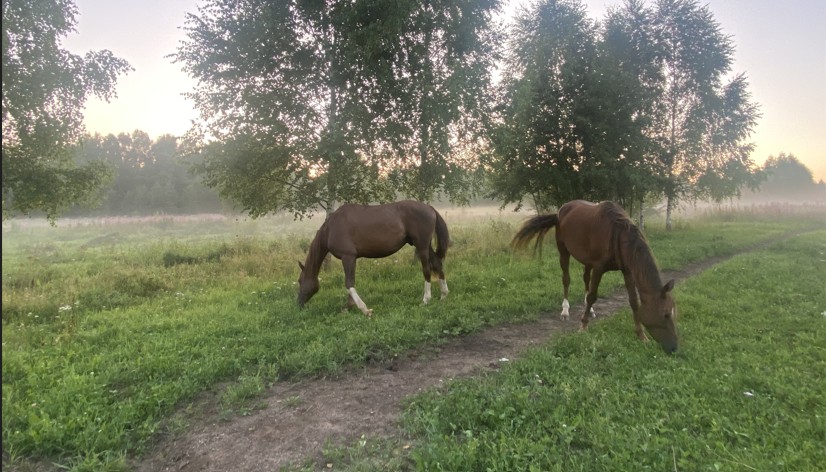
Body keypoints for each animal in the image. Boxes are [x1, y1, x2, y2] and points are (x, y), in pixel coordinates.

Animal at [297, 200, 450, 317]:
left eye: (299, 281)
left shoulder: (348, 257)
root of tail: (430, 208)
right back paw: (443, 296)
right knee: (437, 264)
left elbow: (349, 283)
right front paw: (349, 307)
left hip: (421, 246)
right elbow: (351, 282)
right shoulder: (351, 259)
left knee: (427, 270)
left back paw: (426, 300)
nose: (298, 304)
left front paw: (364, 309)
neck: (331, 228)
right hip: (426, 246)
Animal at [512, 200, 679, 353]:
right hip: (563, 251)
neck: (617, 234)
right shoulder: (599, 268)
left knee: (586, 278)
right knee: (566, 279)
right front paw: (583, 326)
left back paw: (590, 310)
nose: (674, 348)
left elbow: (633, 301)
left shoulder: (627, 271)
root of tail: (561, 210)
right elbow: (593, 295)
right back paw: (565, 310)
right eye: (665, 314)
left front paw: (642, 336)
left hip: (587, 261)